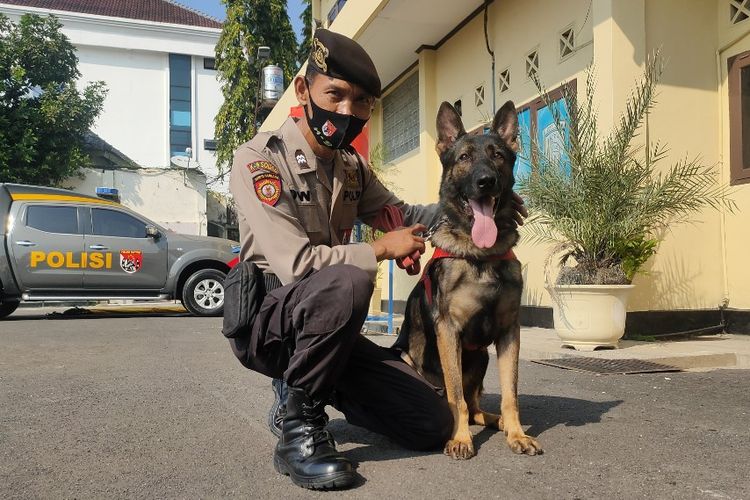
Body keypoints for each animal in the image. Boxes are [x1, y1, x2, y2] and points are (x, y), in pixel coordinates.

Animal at [396, 100, 544, 460]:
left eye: (498, 156)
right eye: (463, 157)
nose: (486, 182)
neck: (481, 255)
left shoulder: (509, 332)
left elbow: (509, 394)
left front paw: (517, 433)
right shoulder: (449, 331)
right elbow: (456, 399)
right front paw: (460, 439)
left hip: (481, 357)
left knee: (478, 406)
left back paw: (498, 421)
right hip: (414, 357)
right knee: (460, 399)